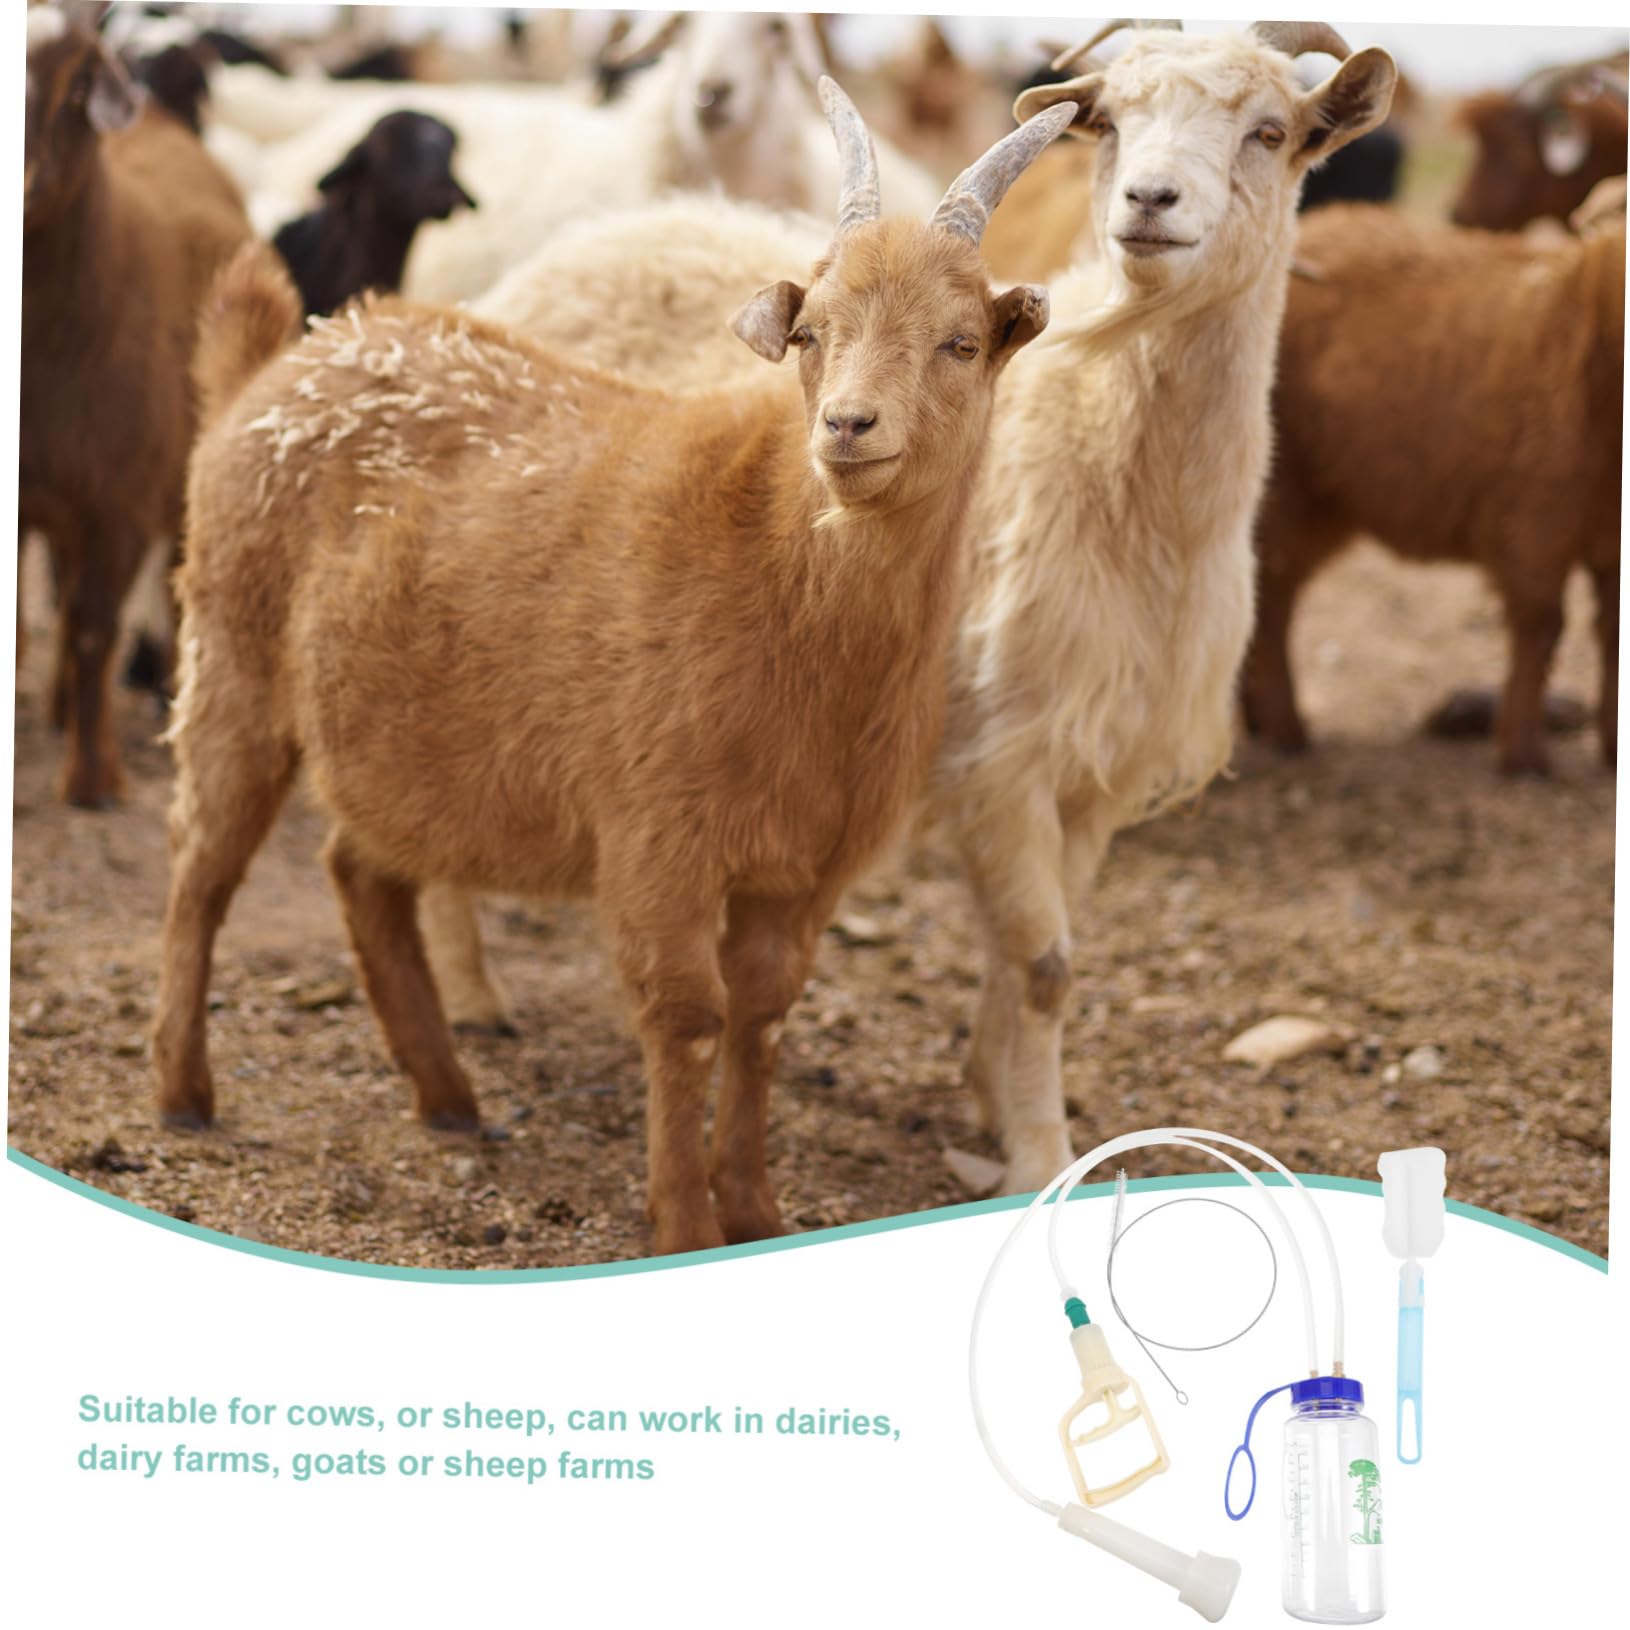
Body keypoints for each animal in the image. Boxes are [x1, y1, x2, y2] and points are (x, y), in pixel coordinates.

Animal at [418, 20, 1399, 1206]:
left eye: (1271, 131)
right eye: (1113, 121)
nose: (1151, 201)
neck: (1112, 478)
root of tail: (595, 240)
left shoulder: (1088, 771)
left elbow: (1033, 957)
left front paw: (989, 1093)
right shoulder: (999, 749)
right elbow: (1044, 964)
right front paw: (1038, 1154)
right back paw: (473, 996)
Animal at [1241, 205, 1623, 776]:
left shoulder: (1607, 537)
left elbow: (1613, 632)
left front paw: (1613, 749)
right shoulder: (1532, 520)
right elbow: (1540, 628)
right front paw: (1523, 755)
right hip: (1286, 493)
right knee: (1272, 601)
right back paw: (1284, 731)